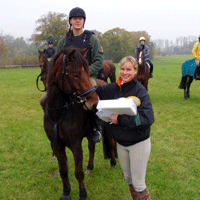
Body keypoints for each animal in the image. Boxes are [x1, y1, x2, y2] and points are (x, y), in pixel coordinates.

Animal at [43, 46, 116, 199]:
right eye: (75, 74)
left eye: (87, 72)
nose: (94, 103)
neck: (59, 114)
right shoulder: (58, 145)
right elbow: (63, 170)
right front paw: (66, 192)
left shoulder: (75, 145)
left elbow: (78, 172)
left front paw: (82, 194)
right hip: (90, 133)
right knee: (92, 147)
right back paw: (90, 167)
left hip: (108, 126)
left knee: (112, 143)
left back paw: (113, 163)